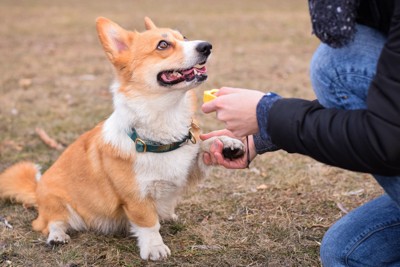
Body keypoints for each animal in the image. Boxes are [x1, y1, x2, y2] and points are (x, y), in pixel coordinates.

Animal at [0, 17, 244, 262]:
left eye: (184, 37)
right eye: (163, 45)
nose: (207, 46)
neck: (166, 119)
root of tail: (37, 189)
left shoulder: (186, 169)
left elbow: (203, 146)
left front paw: (226, 143)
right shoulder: (136, 198)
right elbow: (148, 224)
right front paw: (154, 248)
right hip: (58, 203)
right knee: (50, 222)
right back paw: (57, 236)